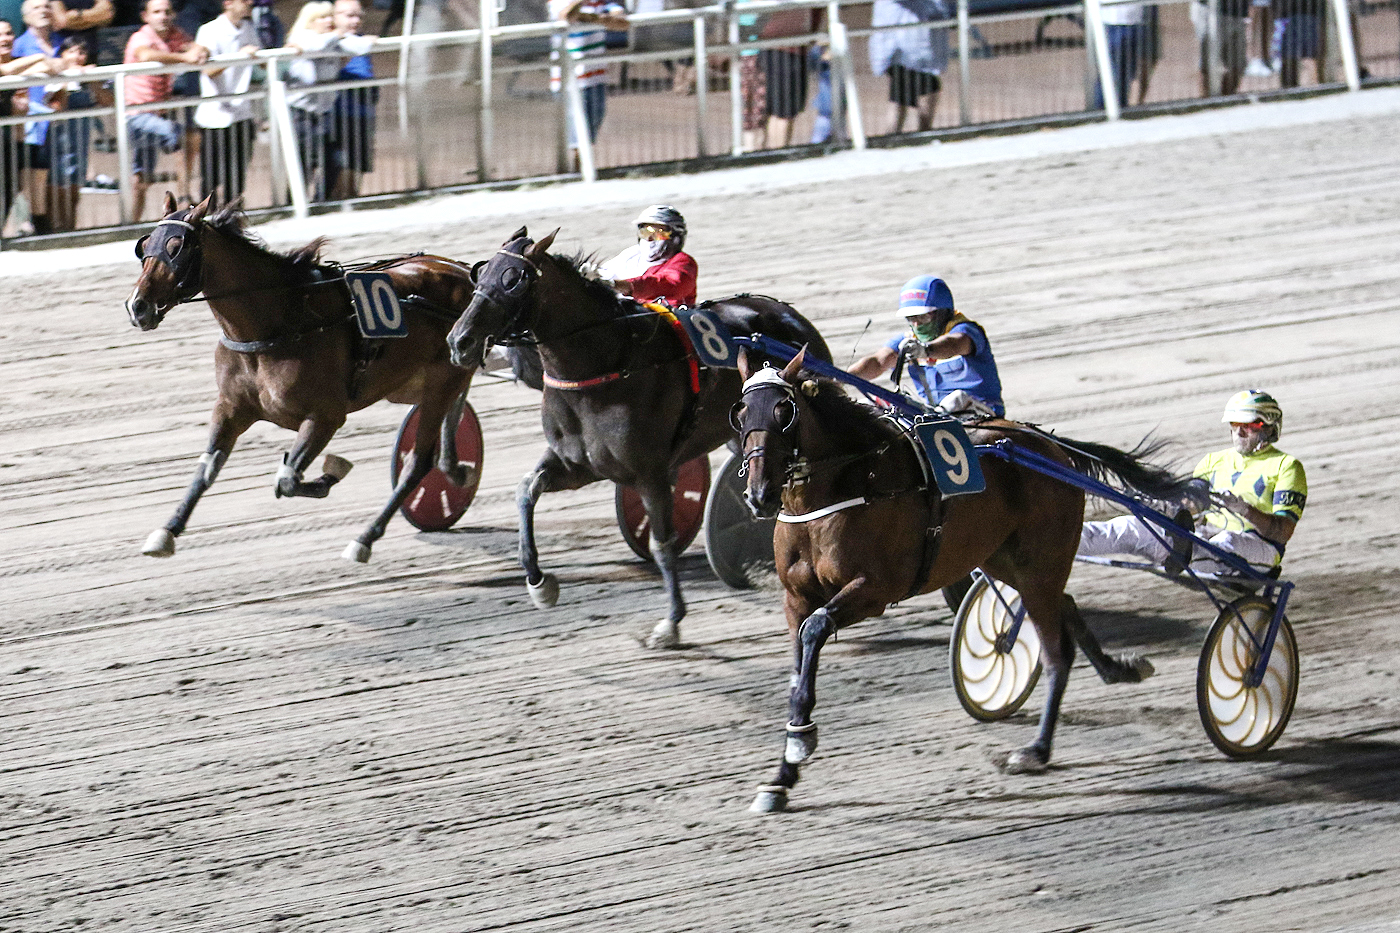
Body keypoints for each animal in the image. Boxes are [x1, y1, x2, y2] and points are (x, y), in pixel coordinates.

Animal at [127, 191, 487, 563]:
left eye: (176, 247)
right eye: (145, 246)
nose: (138, 306)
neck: (277, 322)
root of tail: (464, 272)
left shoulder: (326, 416)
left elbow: (287, 478)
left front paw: (332, 471)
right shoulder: (231, 407)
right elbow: (207, 468)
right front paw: (166, 531)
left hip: (441, 382)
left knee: (418, 463)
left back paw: (365, 538)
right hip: (421, 382)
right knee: (450, 421)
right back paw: (456, 470)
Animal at [442, 225, 823, 647]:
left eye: (513, 280)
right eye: (481, 272)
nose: (459, 341)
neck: (604, 362)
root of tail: (791, 316)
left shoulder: (648, 472)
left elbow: (663, 544)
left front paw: (670, 623)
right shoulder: (579, 464)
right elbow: (526, 490)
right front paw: (540, 585)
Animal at [728, 348, 1187, 806]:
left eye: (784, 411)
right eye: (742, 412)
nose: (759, 494)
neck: (842, 490)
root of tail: (1048, 447)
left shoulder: (875, 589)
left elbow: (816, 628)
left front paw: (801, 740)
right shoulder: (795, 597)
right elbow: (797, 667)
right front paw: (782, 775)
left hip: (1041, 561)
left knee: (1056, 653)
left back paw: (1037, 750)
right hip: (1005, 558)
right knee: (1066, 604)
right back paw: (1117, 668)